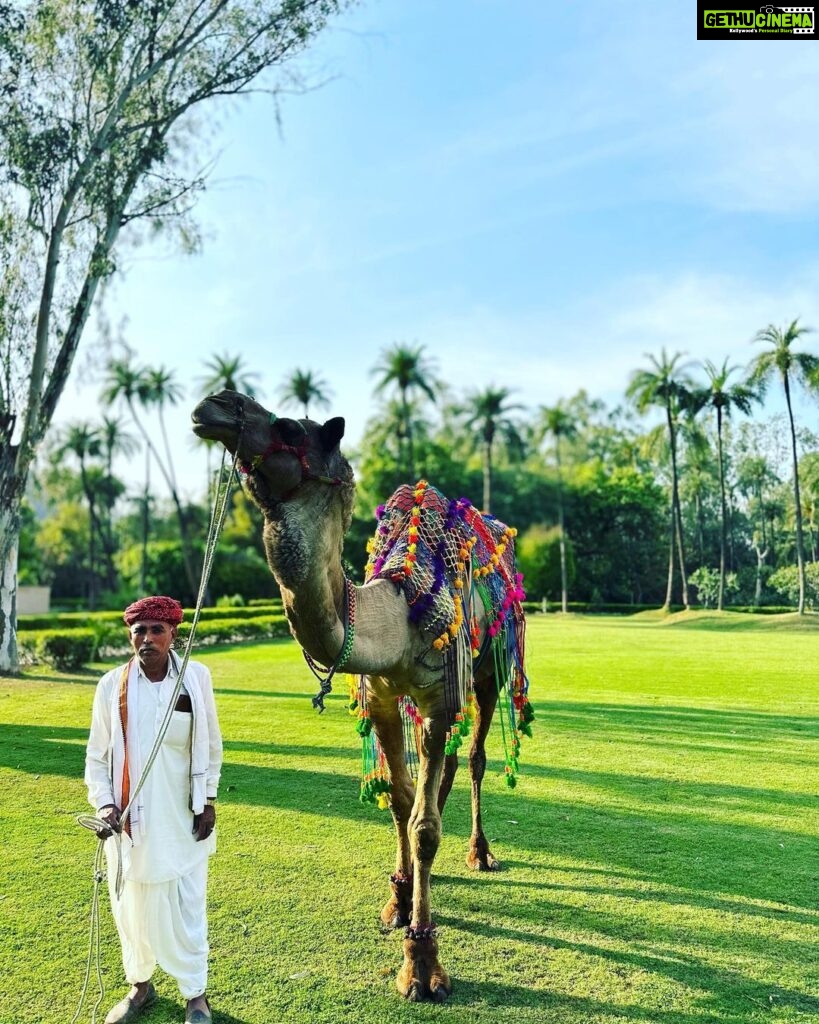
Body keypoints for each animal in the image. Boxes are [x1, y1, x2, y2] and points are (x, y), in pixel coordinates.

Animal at [189, 391, 532, 999]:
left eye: (288, 427)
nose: (215, 404)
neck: (395, 613)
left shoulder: (441, 698)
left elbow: (423, 826)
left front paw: (422, 965)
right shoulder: (384, 699)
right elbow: (399, 800)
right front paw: (399, 899)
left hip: (490, 664)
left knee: (473, 756)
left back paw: (478, 852)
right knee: (438, 771)